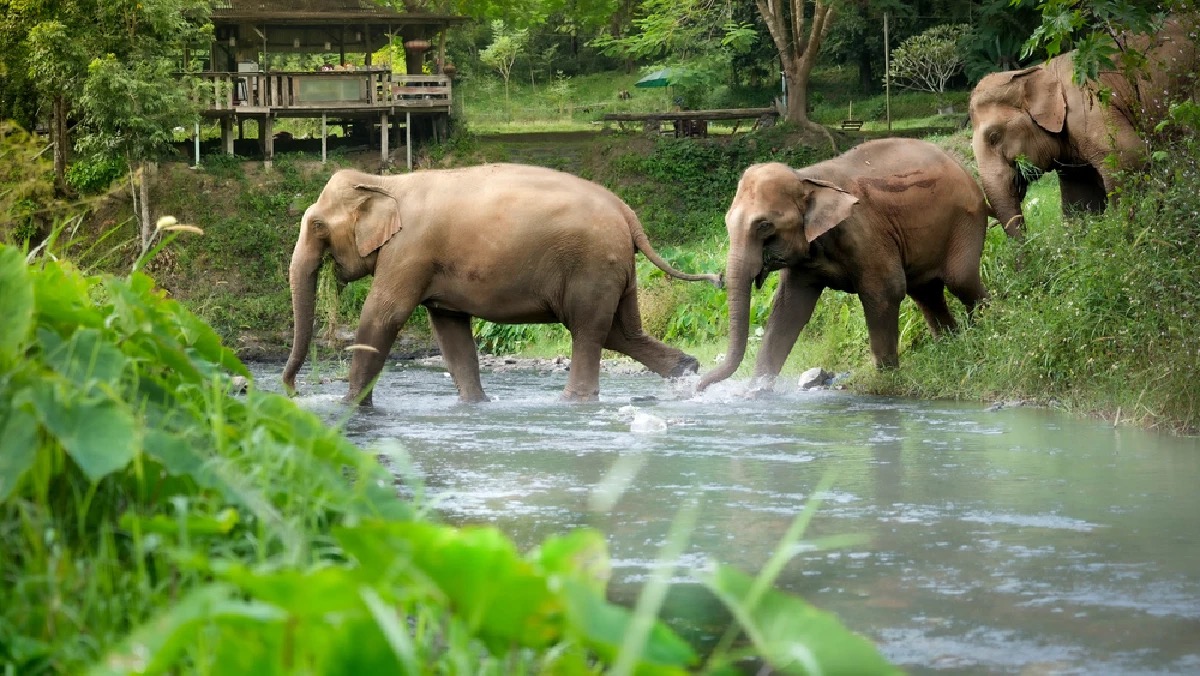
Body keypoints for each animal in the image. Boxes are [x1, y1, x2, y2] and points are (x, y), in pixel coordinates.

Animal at [282, 163, 721, 406]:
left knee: (587, 330)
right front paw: (476, 404)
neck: (386, 182)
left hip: (592, 265)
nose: (292, 391)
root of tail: (627, 212)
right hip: (615, 267)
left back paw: (572, 402)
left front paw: (348, 407)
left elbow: (383, 316)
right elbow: (450, 329)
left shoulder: (410, 251)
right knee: (621, 331)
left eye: (317, 225)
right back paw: (687, 370)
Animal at [696, 138, 988, 391]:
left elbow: (885, 291)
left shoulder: (864, 232)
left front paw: (886, 381)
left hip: (966, 220)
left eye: (764, 225)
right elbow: (789, 309)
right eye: (727, 222)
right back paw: (951, 344)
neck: (807, 178)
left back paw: (984, 330)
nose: (696, 387)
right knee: (926, 293)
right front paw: (755, 392)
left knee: (960, 280)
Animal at [969, 15, 1200, 237]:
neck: (1040, 70)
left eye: (994, 136)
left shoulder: (1089, 112)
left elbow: (1129, 158)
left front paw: (1126, 234)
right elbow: (1081, 201)